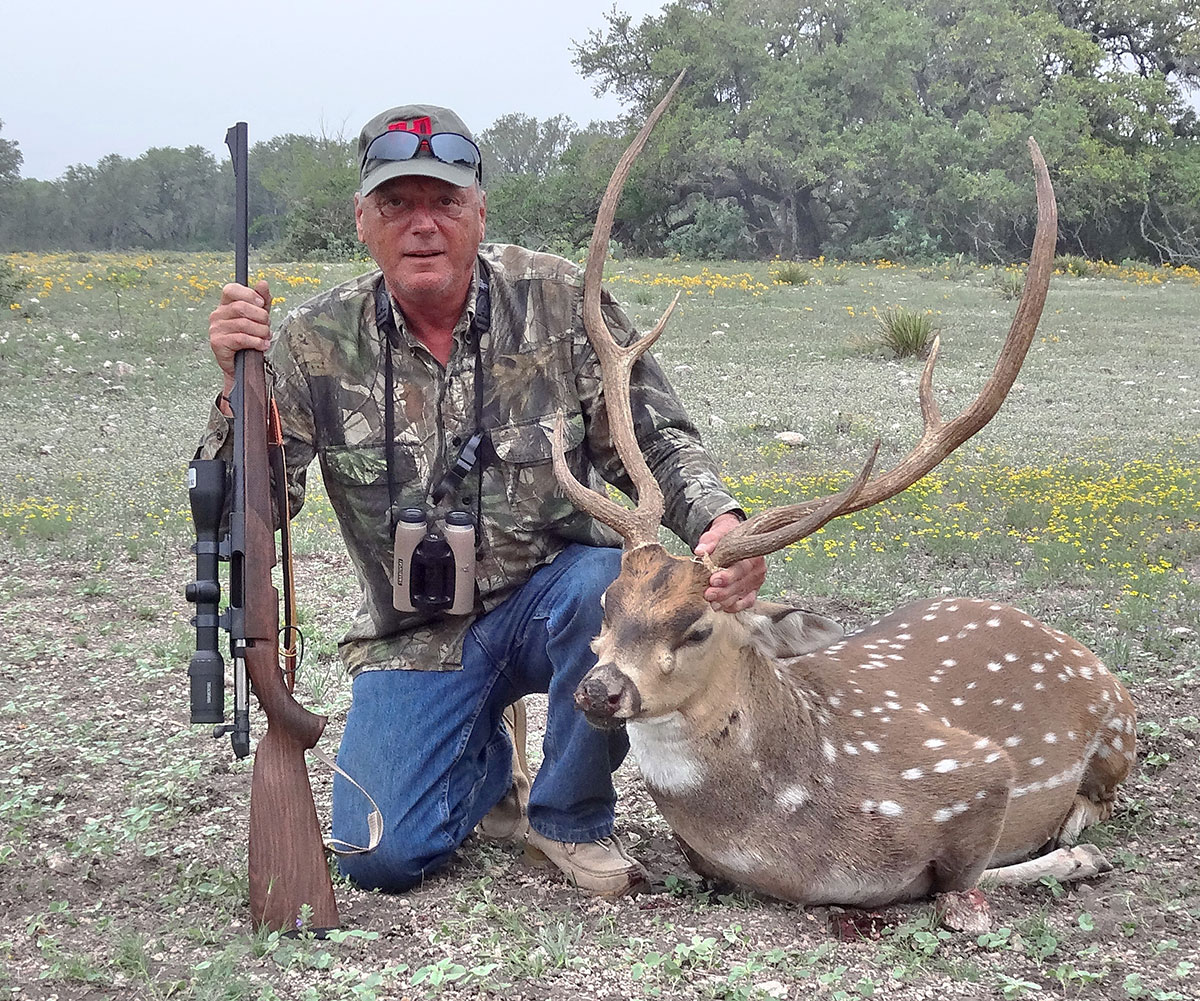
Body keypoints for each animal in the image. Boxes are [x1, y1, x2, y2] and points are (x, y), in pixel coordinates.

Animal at [550, 73, 1136, 921]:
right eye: (607, 605)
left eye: (696, 627)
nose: (598, 687)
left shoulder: (973, 771)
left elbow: (958, 891)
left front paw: (1076, 856)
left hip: (1119, 724)